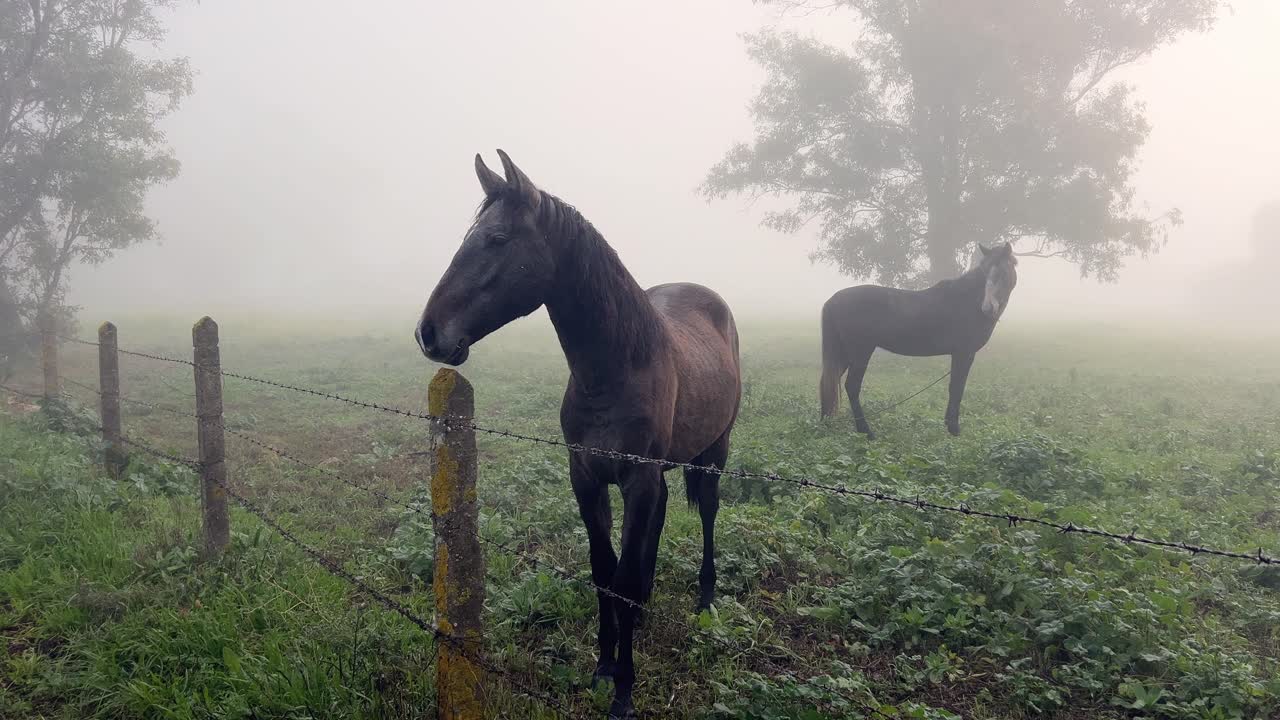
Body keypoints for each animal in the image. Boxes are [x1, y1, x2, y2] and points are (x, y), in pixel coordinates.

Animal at [415, 150, 741, 719]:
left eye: (497, 238)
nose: (429, 333)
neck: (615, 370)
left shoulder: (636, 480)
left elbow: (621, 576)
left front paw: (625, 691)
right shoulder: (586, 477)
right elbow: (603, 571)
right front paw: (605, 665)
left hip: (712, 453)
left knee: (707, 512)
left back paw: (704, 598)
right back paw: (646, 608)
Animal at [819, 242, 1017, 438]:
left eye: (1002, 271)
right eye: (984, 271)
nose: (988, 308)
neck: (967, 302)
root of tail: (832, 300)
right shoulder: (964, 354)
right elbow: (957, 387)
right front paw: (954, 428)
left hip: (844, 354)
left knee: (828, 382)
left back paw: (826, 422)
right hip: (861, 352)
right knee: (851, 386)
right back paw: (866, 431)